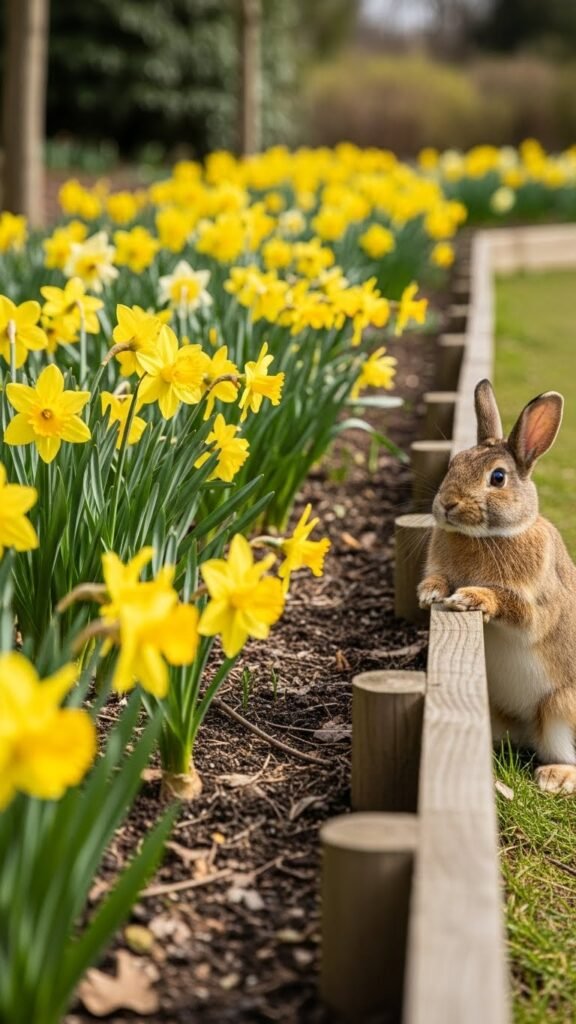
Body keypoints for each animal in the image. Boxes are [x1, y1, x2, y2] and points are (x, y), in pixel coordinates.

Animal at [418, 378, 576, 794]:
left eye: (498, 478)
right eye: (453, 464)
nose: (447, 504)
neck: (487, 536)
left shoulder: (536, 605)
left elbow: (513, 606)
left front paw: (470, 597)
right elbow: (437, 578)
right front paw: (429, 592)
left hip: (560, 707)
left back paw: (554, 777)